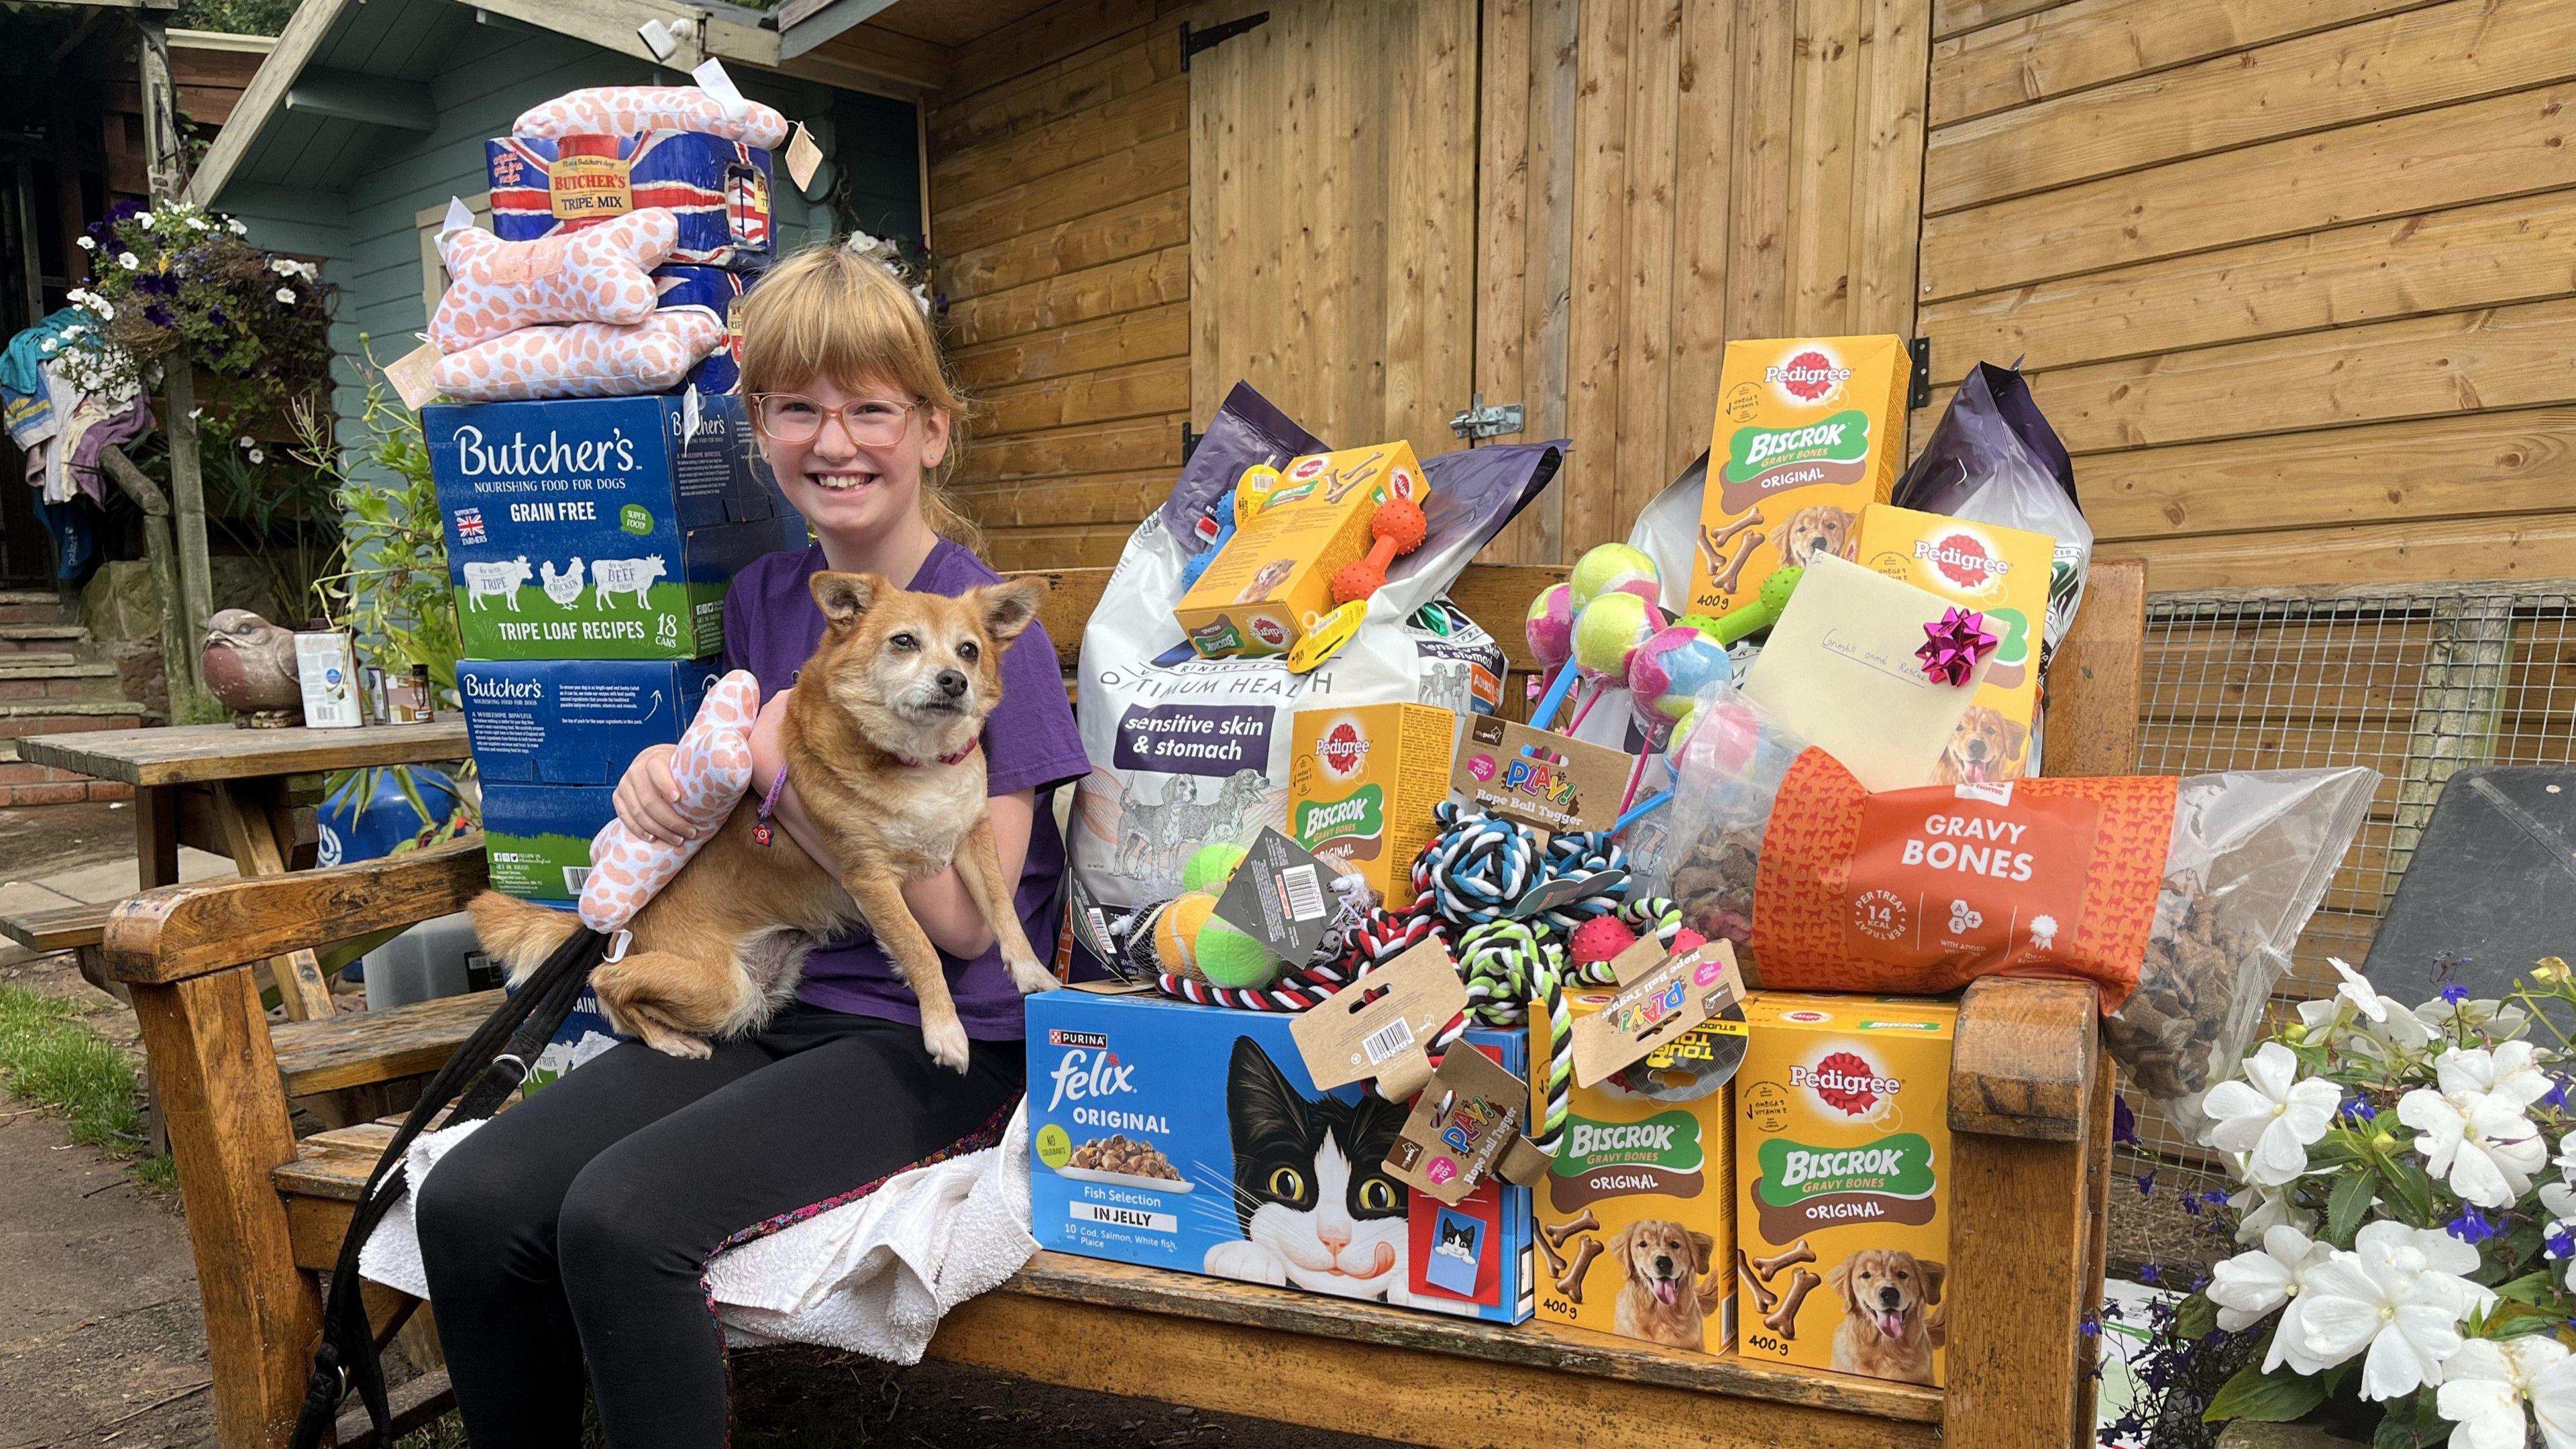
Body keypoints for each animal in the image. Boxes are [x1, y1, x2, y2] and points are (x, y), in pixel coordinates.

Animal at [474, 570, 1056, 1067]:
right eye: (904, 642)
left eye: (969, 651)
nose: (954, 680)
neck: (919, 763)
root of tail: (623, 928)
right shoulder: (869, 877)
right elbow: (919, 947)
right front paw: (944, 1030)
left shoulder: (973, 836)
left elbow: (1000, 904)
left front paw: (1033, 972)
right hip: (720, 988)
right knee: (605, 983)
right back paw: (669, 1039)